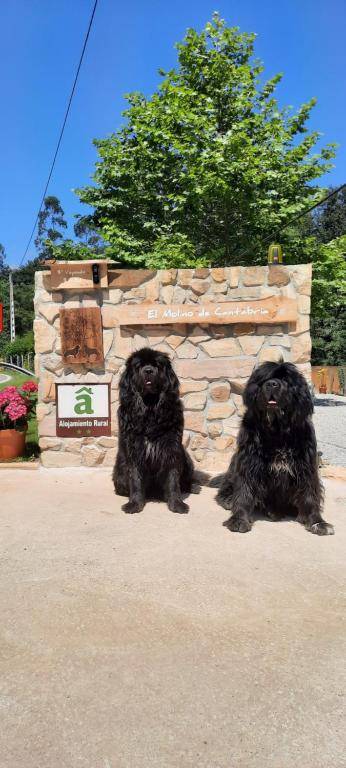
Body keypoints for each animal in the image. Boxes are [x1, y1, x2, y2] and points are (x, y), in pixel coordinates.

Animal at [113, 348, 195, 516]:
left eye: (157, 365)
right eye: (139, 366)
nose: (148, 370)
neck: (150, 408)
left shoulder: (171, 448)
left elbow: (172, 479)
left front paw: (176, 504)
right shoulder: (134, 449)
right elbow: (135, 478)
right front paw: (134, 504)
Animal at [215, 364, 334, 536]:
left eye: (286, 379)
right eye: (264, 379)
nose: (272, 384)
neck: (277, 430)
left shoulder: (306, 466)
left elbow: (310, 494)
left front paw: (317, 522)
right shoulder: (248, 461)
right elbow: (244, 490)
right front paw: (239, 519)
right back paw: (229, 500)